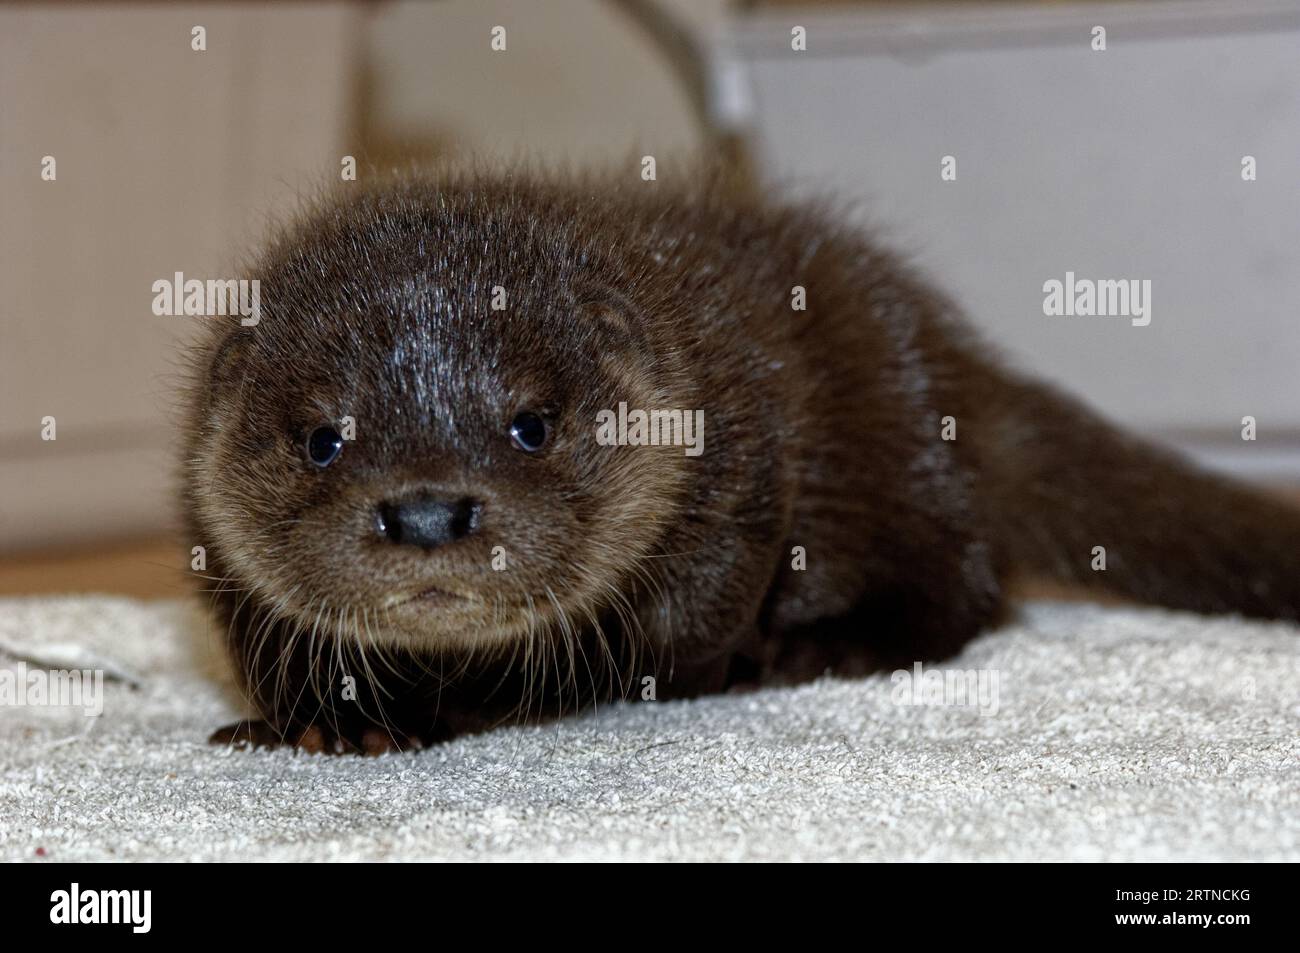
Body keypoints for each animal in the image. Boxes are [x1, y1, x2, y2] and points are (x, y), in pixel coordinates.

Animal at [184, 168, 1300, 754]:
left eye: (531, 423)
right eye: (321, 437)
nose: (424, 513)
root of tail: (954, 360)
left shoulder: (742, 451)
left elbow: (686, 625)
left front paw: (484, 702)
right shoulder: (216, 553)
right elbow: (267, 648)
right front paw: (320, 723)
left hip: (905, 440)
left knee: (963, 582)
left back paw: (831, 643)